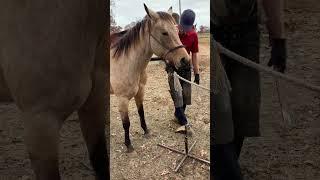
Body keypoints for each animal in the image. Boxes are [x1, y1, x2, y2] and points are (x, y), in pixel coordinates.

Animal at [110, 4, 190, 153]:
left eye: (177, 31)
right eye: (164, 33)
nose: (185, 60)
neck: (128, 63)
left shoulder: (140, 92)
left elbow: (141, 112)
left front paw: (146, 131)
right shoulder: (122, 99)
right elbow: (126, 123)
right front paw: (128, 144)